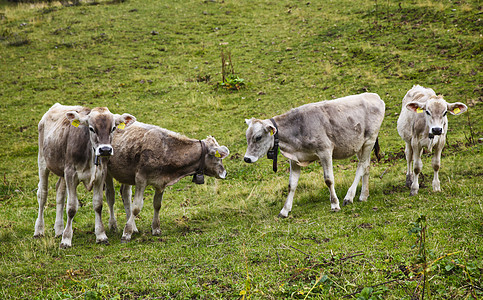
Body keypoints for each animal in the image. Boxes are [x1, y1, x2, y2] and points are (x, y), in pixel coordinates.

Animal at [34, 103, 135, 248]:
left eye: (113, 128)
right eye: (91, 128)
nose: (105, 150)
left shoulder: (100, 175)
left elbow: (98, 205)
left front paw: (101, 236)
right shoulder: (71, 174)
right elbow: (71, 207)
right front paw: (66, 239)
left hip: (62, 171)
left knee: (60, 193)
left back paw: (59, 229)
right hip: (43, 162)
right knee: (42, 194)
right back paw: (39, 230)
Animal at [246, 92, 386, 216]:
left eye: (258, 137)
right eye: (247, 137)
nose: (247, 158)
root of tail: (374, 96)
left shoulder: (325, 150)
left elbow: (329, 179)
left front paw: (335, 204)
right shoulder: (294, 159)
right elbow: (291, 185)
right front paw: (284, 210)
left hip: (370, 139)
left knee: (361, 166)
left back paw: (349, 197)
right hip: (359, 145)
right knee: (366, 166)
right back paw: (363, 195)